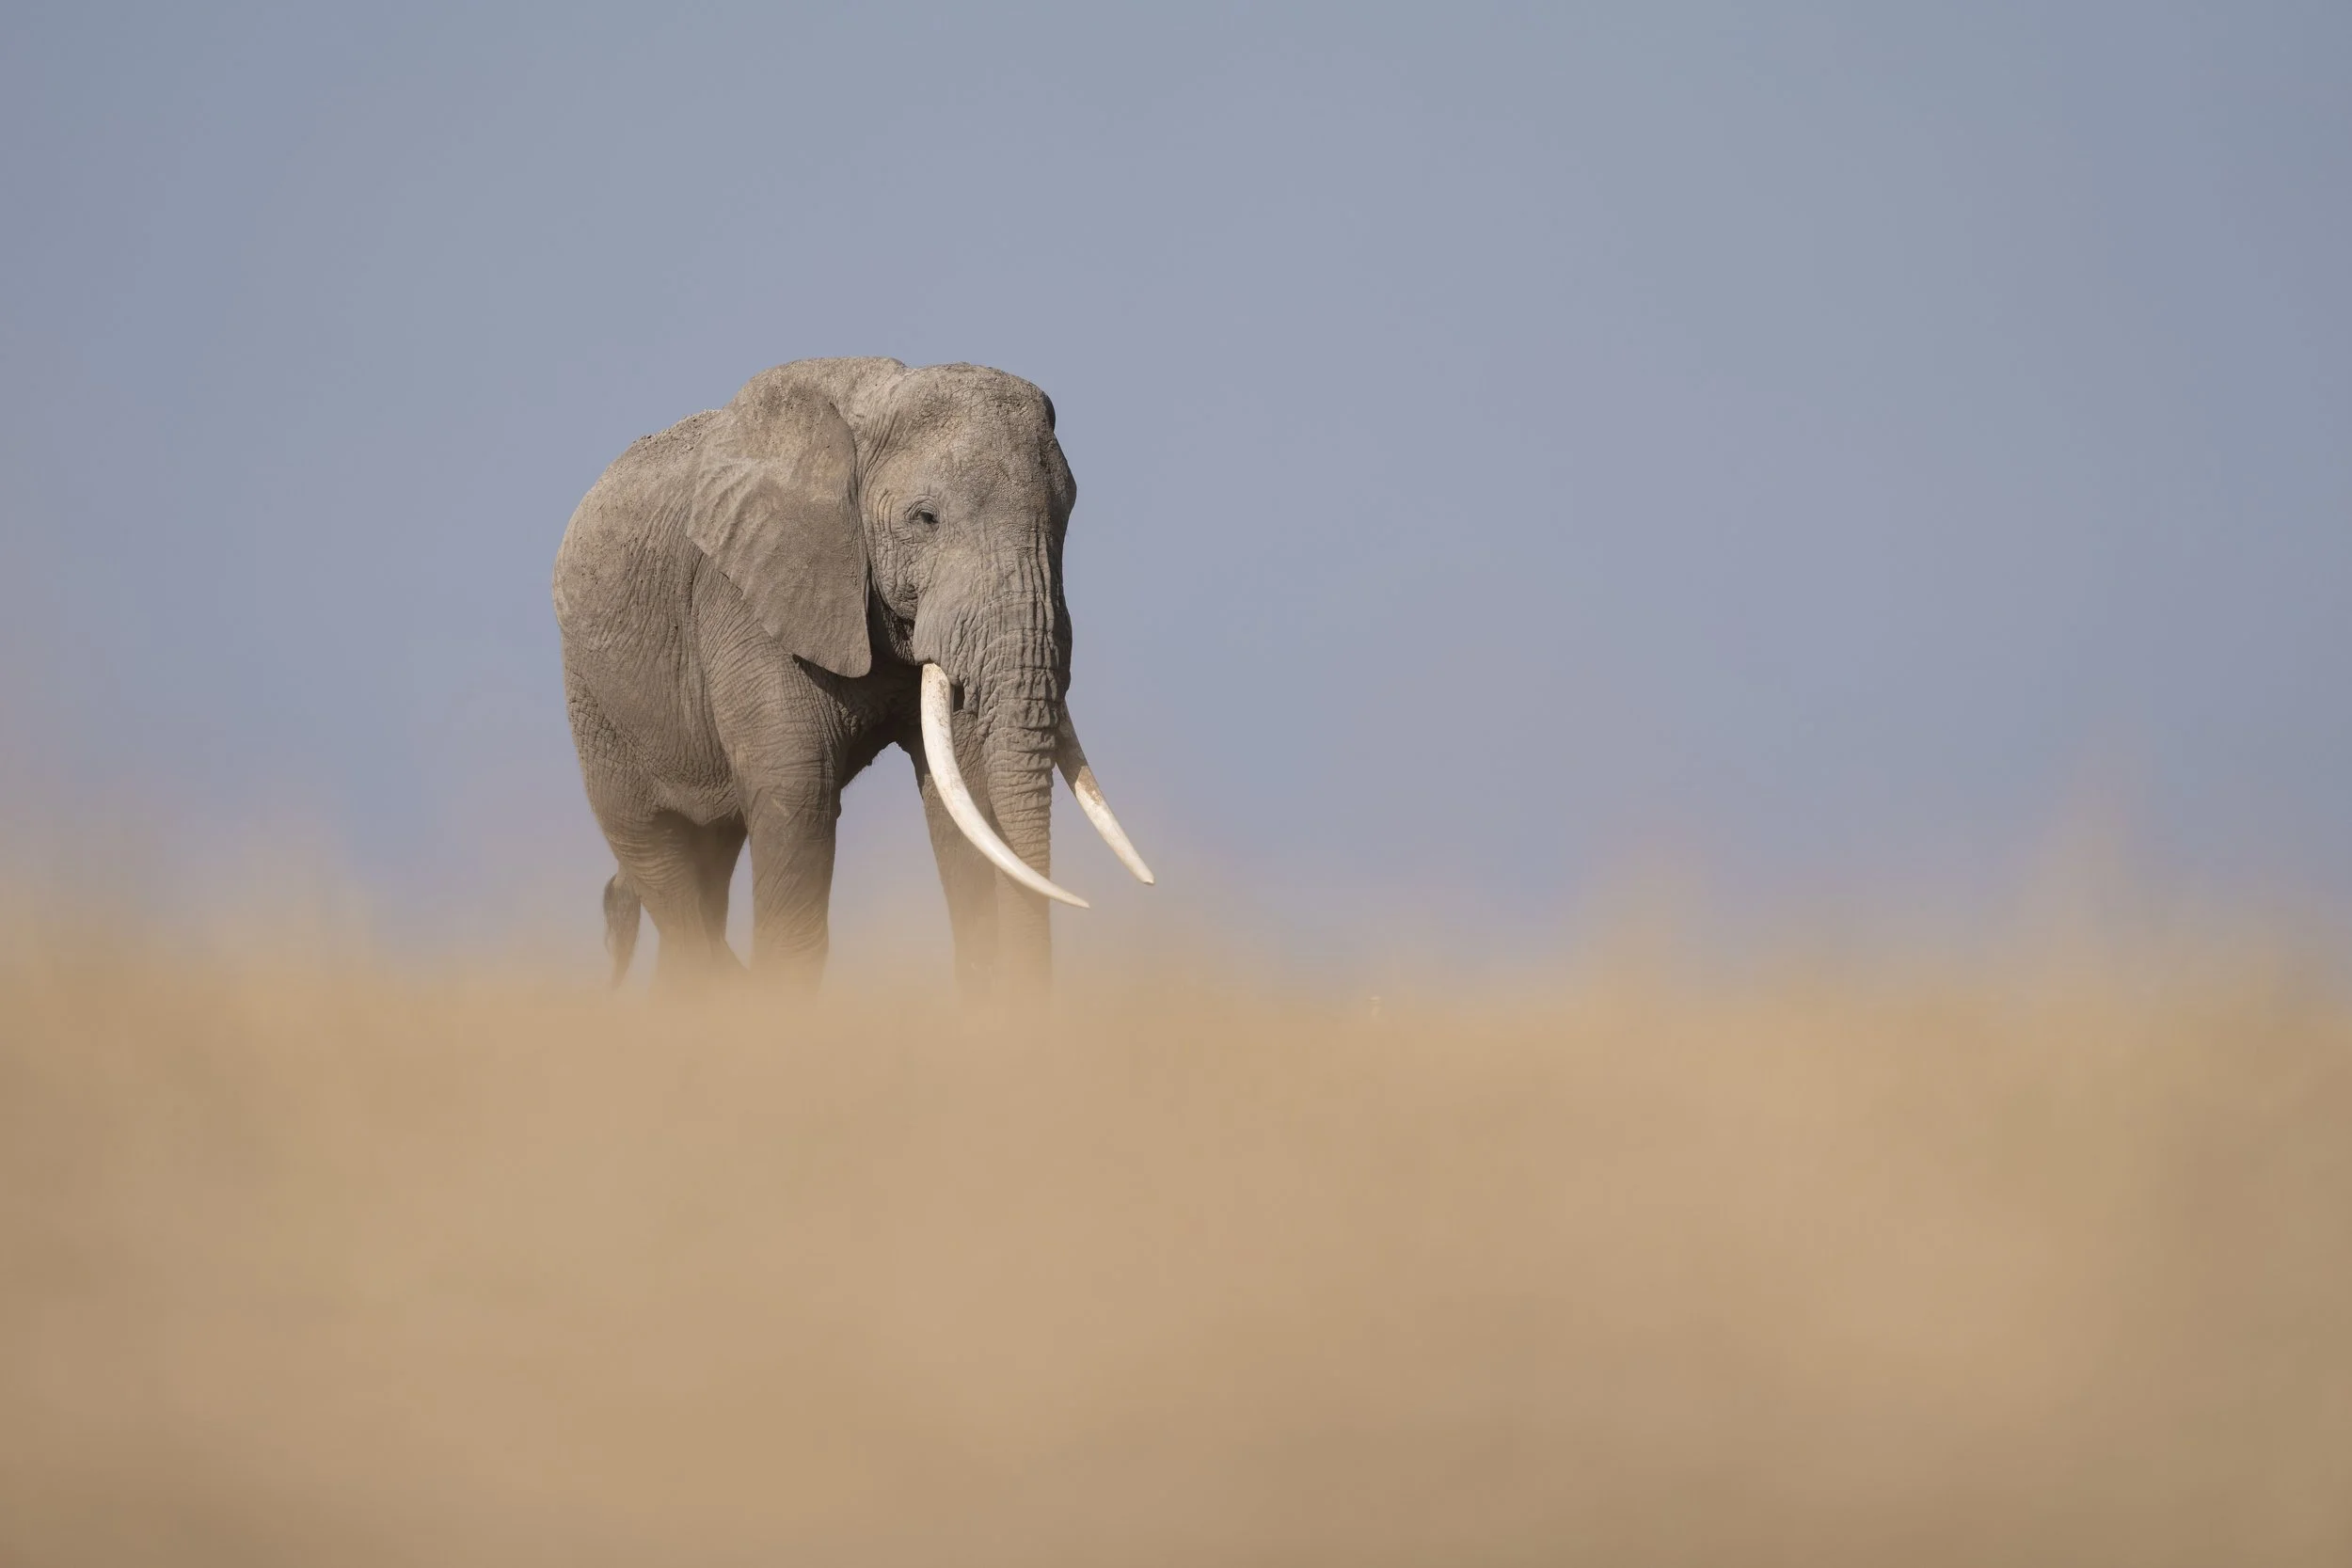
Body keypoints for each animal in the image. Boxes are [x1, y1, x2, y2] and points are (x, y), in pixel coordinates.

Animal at [552, 357, 1153, 997]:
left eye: (1064, 518)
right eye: (925, 518)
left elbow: (965, 790)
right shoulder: (746, 599)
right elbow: (797, 791)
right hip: (593, 700)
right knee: (655, 853)